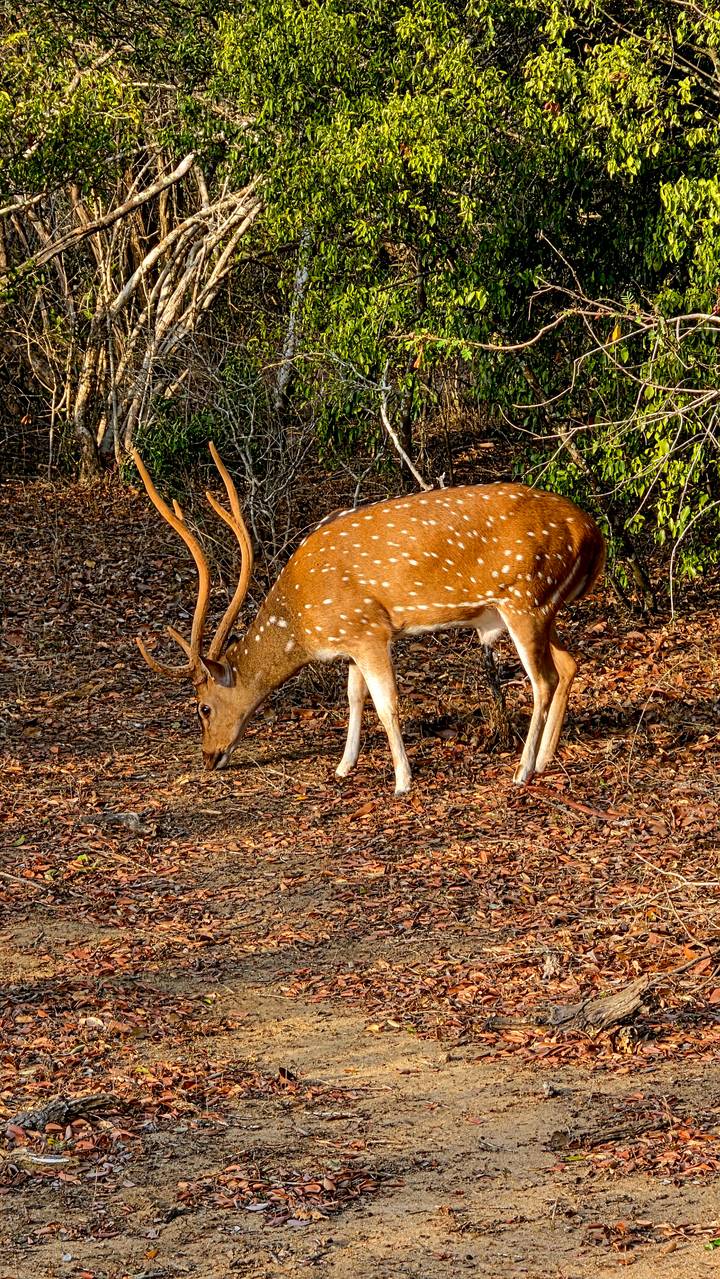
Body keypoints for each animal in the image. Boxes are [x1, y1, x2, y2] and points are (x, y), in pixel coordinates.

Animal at [131, 443, 605, 794]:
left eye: (203, 707)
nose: (209, 757)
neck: (303, 621)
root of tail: (593, 534)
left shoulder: (369, 629)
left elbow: (386, 702)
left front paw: (402, 781)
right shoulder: (352, 639)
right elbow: (354, 697)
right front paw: (344, 766)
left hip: (525, 598)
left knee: (542, 679)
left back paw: (522, 770)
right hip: (543, 608)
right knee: (569, 664)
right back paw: (545, 759)